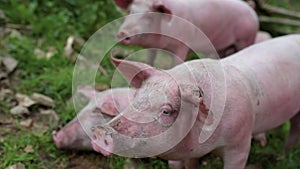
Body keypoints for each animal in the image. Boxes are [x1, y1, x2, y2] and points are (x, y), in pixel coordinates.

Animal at [113, 0, 258, 64]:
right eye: (130, 11)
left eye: (150, 16)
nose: (123, 33)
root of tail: (252, 11)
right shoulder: (152, 47)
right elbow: (150, 61)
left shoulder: (182, 45)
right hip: (225, 46)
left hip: (245, 38)